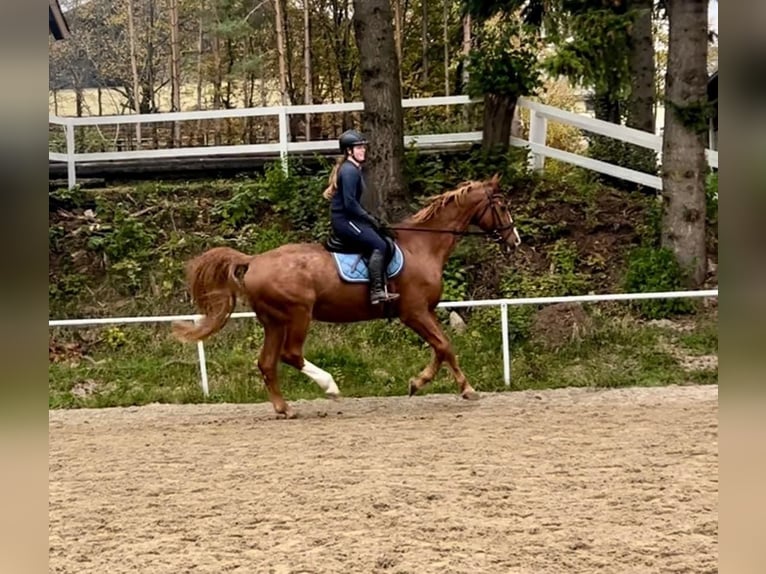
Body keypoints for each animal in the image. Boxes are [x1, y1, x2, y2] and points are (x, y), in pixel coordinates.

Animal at [173, 173, 520, 420]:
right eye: (502, 207)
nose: (515, 240)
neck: (423, 246)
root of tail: (253, 260)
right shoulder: (414, 312)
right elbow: (445, 346)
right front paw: (467, 389)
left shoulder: (426, 312)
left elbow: (441, 348)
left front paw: (418, 382)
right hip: (298, 313)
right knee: (290, 354)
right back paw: (330, 386)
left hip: (273, 321)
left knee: (267, 363)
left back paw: (284, 409)